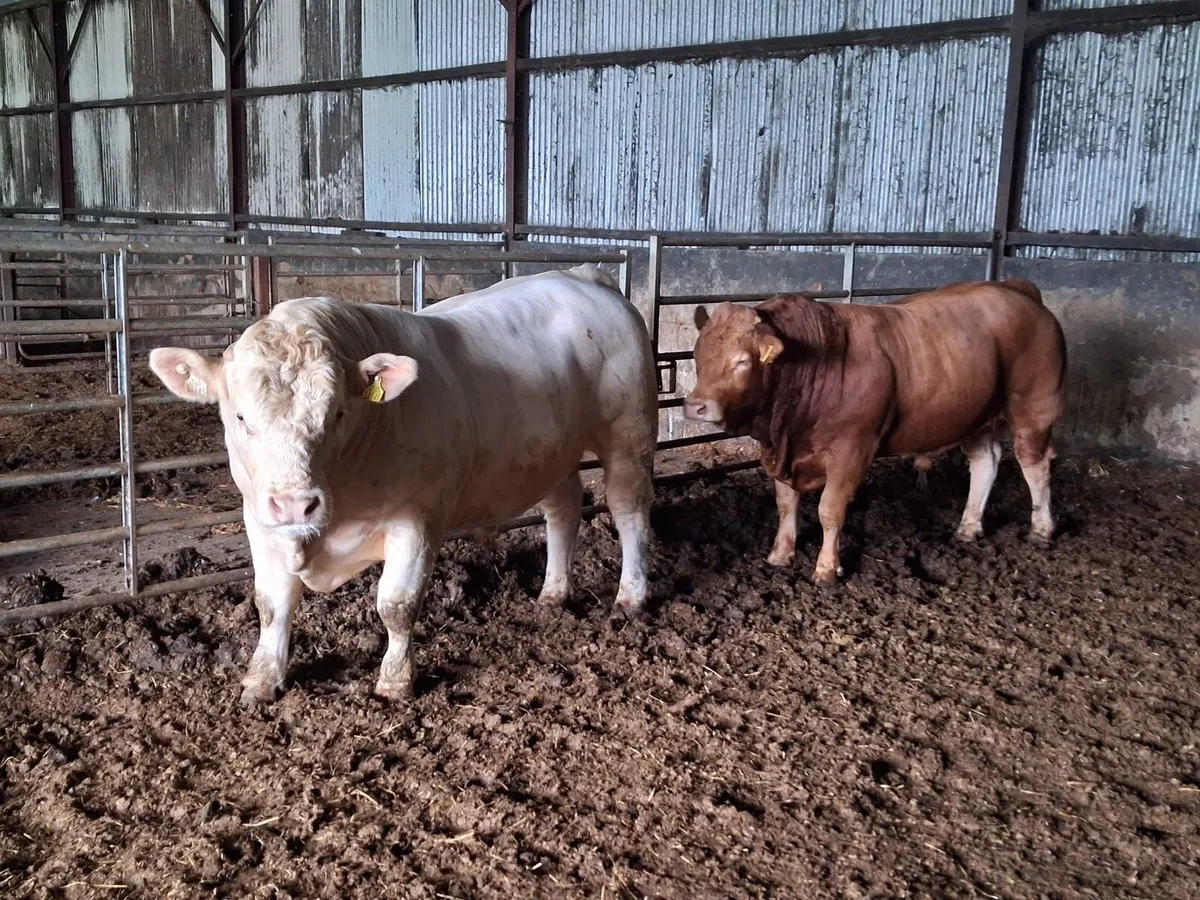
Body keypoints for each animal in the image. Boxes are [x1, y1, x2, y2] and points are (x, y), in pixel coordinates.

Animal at [148, 266, 657, 705]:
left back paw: (630, 596)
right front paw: (261, 677)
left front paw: (395, 681)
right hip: (552, 452)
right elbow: (271, 603)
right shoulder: (258, 516)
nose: (296, 505)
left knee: (628, 511)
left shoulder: (416, 519)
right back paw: (553, 593)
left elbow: (396, 604)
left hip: (628, 433)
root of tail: (581, 276)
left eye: (337, 413)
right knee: (563, 510)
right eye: (240, 418)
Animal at [683, 278, 1067, 584]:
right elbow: (786, 502)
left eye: (742, 361)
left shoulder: (851, 452)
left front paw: (826, 568)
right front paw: (780, 554)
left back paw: (1041, 529)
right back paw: (969, 527)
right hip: (975, 414)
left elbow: (829, 510)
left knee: (1035, 464)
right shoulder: (782, 450)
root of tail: (1016, 288)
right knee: (986, 462)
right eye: (698, 356)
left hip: (1033, 407)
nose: (696, 405)